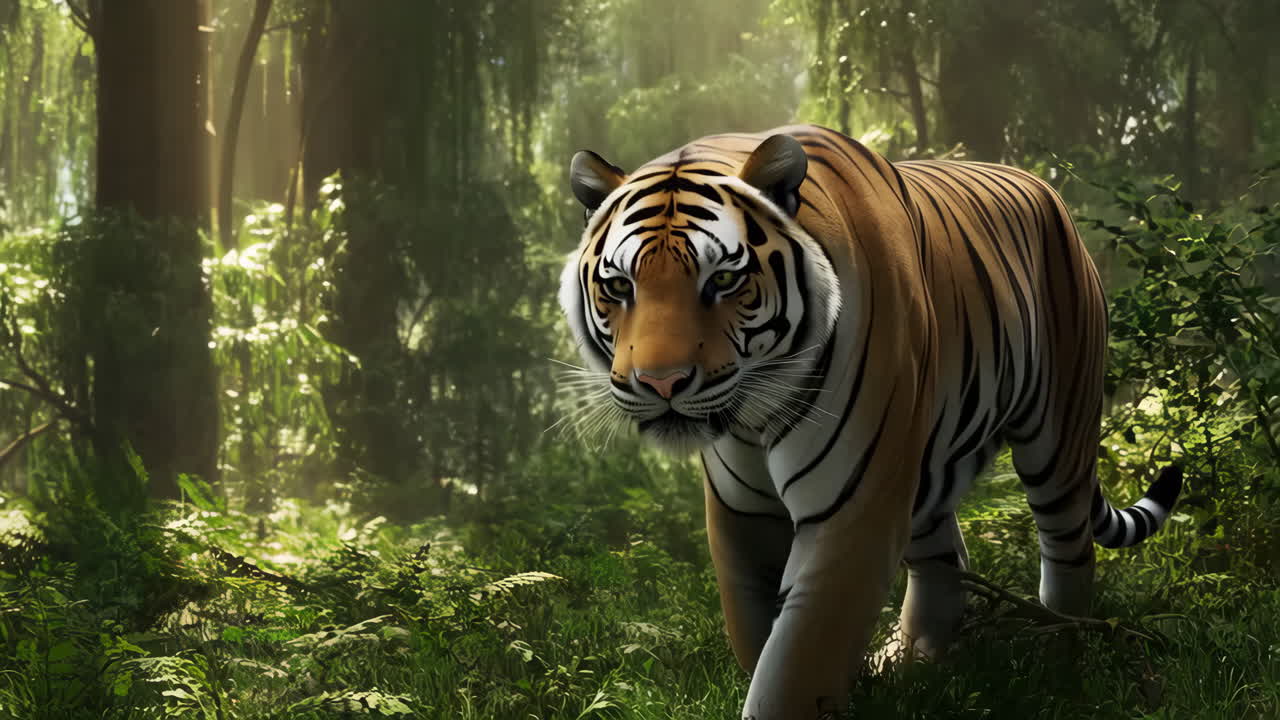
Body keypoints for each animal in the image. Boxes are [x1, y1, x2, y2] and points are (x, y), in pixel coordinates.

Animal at [557, 124, 1183, 719]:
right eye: (619, 286)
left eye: (723, 281)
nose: (660, 384)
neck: (754, 414)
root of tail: (1044, 187)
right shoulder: (742, 513)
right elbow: (753, 631)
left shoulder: (852, 507)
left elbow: (798, 658)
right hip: (922, 469)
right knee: (942, 562)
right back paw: (910, 661)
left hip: (1056, 437)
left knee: (1069, 549)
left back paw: (1060, 657)